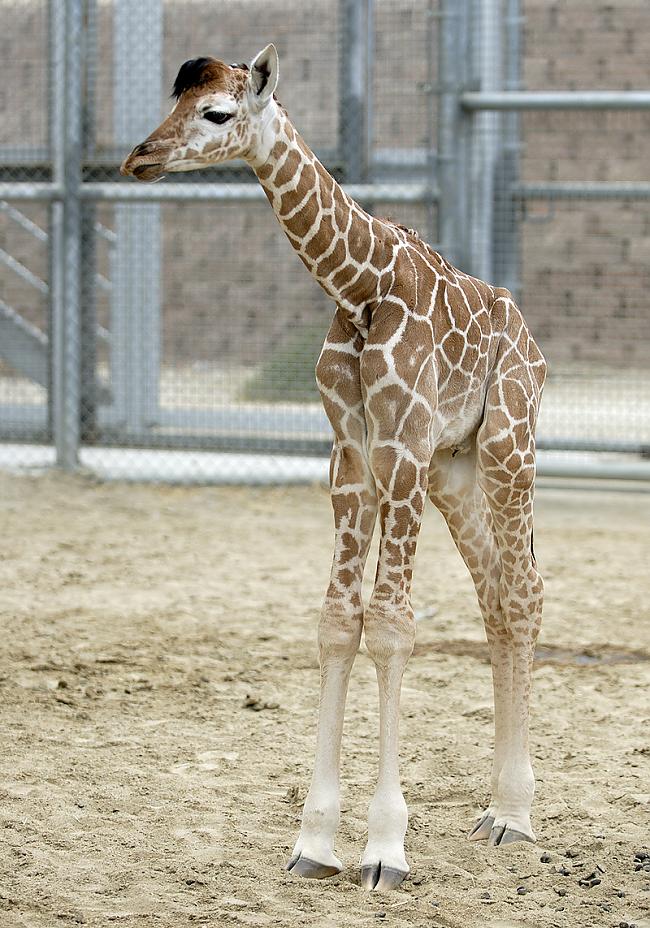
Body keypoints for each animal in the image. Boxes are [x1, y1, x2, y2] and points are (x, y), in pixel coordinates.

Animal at [123, 43, 548, 892]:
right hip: (457, 472)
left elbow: (389, 628)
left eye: (217, 112)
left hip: (507, 449)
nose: (139, 157)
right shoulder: (351, 457)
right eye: (172, 102)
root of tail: (532, 342)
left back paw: (516, 816)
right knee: (494, 595)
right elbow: (334, 624)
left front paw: (386, 849)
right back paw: (493, 808)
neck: (360, 285)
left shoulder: (402, 449)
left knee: (523, 595)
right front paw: (315, 841)